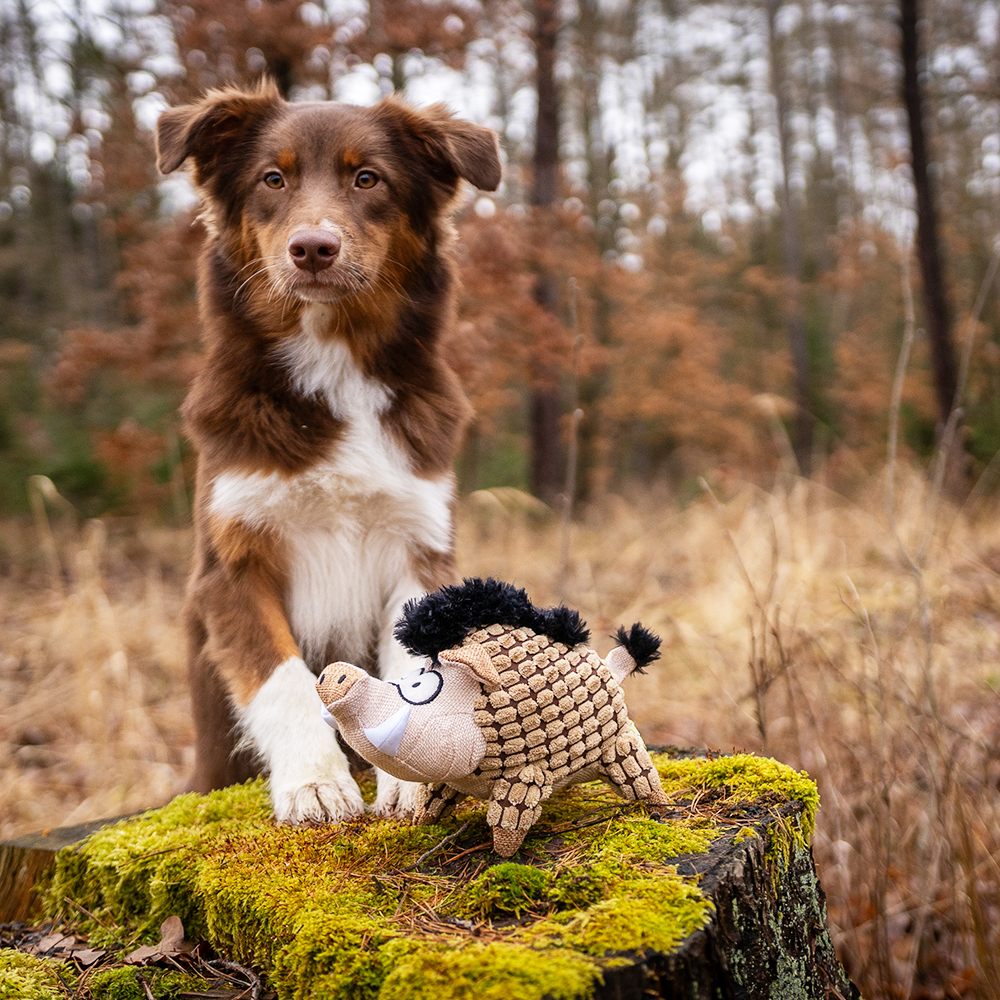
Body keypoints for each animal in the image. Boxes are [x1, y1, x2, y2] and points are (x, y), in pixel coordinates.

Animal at [157, 82, 504, 824]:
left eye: (367, 178)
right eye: (273, 179)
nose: (312, 247)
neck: (333, 361)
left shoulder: (418, 545)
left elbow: (415, 669)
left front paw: (411, 772)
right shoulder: (233, 567)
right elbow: (283, 678)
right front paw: (314, 784)